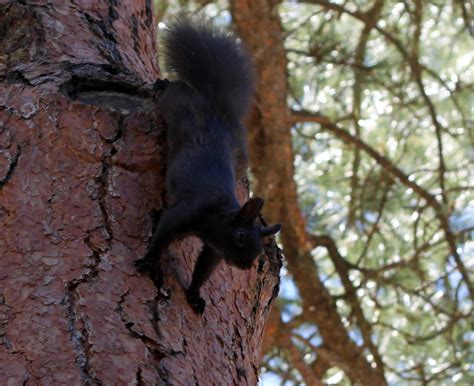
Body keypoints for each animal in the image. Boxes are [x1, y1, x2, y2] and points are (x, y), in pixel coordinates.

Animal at [133, 16, 282, 316]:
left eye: (260, 249)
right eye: (240, 235)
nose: (245, 265)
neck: (217, 218)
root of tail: (215, 103)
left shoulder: (214, 250)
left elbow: (203, 270)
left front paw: (194, 295)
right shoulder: (185, 213)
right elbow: (162, 234)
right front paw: (148, 260)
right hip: (176, 101)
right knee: (174, 87)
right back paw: (162, 83)